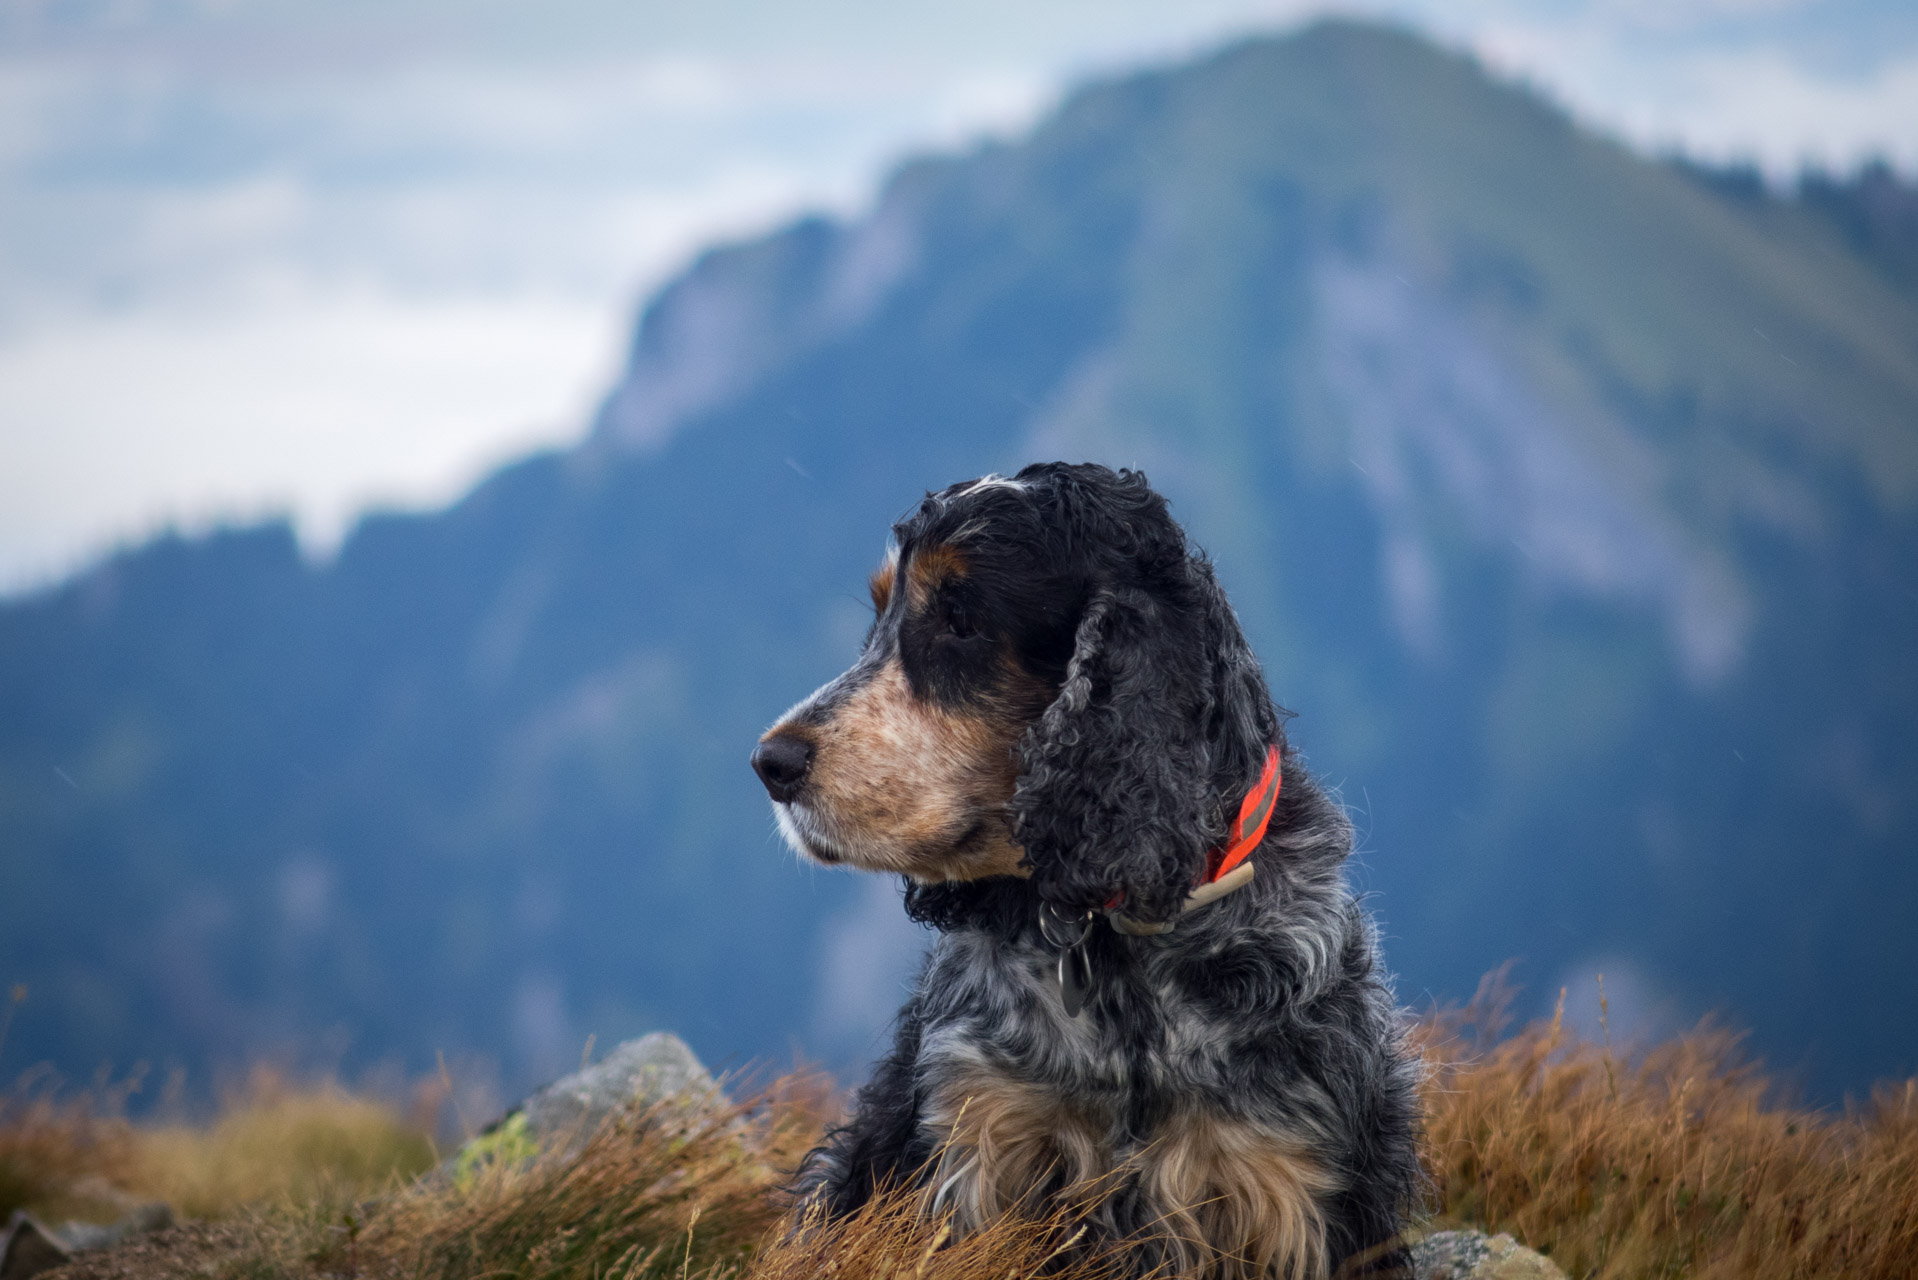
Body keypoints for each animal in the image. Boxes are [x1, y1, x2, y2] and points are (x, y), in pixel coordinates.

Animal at [751, 466, 1426, 1274]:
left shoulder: (1293, 1182)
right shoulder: (975, 1139)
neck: (1117, 945)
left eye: (961, 619)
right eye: (882, 612)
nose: (771, 763)